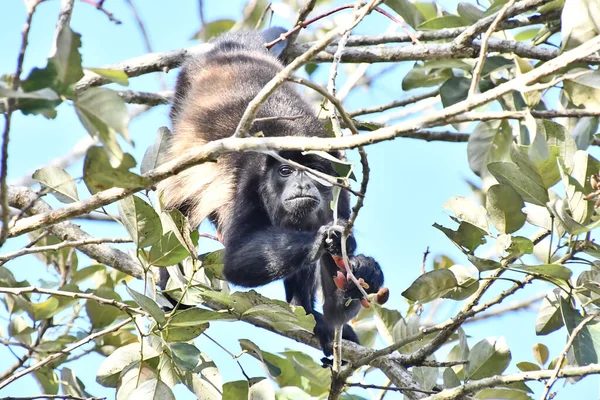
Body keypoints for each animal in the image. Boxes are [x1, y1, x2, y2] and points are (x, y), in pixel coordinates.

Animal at [157, 28, 384, 356]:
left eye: (315, 170)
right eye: (286, 171)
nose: (302, 184)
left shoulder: (341, 188)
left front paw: (364, 271)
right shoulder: (249, 181)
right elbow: (236, 259)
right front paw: (323, 238)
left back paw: (304, 310)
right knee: (181, 212)